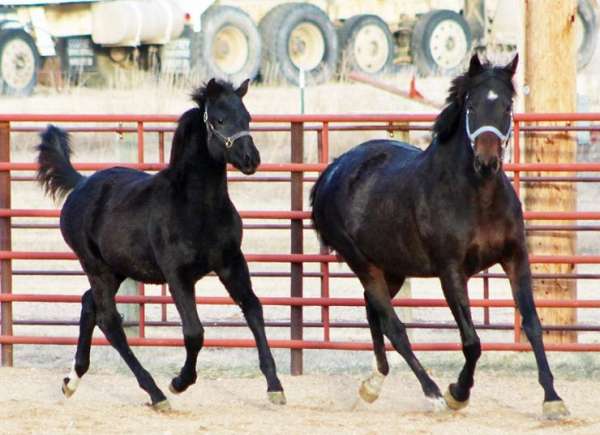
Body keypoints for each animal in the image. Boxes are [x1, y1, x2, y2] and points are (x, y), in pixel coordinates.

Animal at [37, 77, 286, 412]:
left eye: (248, 118)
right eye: (219, 120)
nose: (251, 159)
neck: (197, 207)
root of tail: (80, 184)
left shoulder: (231, 263)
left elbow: (253, 309)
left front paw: (275, 387)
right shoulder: (177, 274)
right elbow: (194, 332)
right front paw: (179, 382)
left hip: (116, 270)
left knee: (89, 305)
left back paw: (71, 381)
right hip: (95, 266)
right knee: (109, 321)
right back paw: (156, 393)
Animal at [312, 54, 568, 418]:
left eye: (507, 106)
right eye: (471, 105)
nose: (487, 161)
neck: (477, 198)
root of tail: (331, 172)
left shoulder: (515, 258)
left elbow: (532, 324)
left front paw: (553, 399)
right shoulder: (450, 271)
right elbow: (472, 341)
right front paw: (457, 393)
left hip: (392, 268)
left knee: (374, 313)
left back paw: (372, 385)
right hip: (364, 264)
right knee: (394, 326)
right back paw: (432, 393)